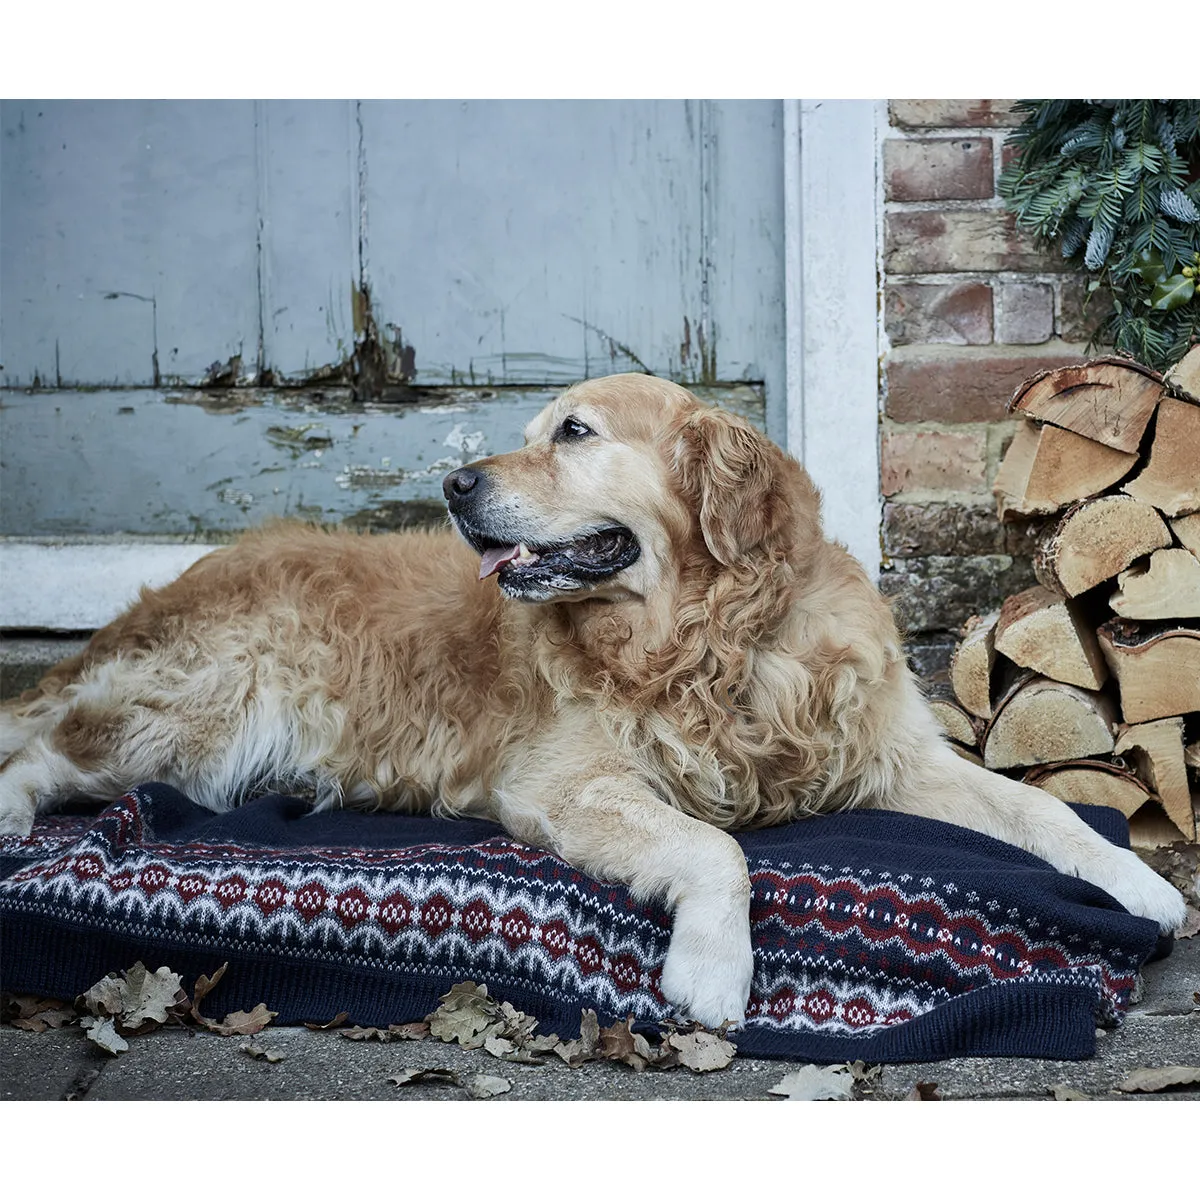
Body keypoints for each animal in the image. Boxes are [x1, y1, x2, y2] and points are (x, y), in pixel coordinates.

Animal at [0, 374, 1180, 1022]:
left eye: (574, 434)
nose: (454, 485)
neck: (713, 640)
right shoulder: (565, 784)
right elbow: (720, 846)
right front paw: (714, 967)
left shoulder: (894, 757)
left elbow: (1040, 809)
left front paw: (1138, 882)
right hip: (198, 713)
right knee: (38, 749)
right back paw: (13, 814)